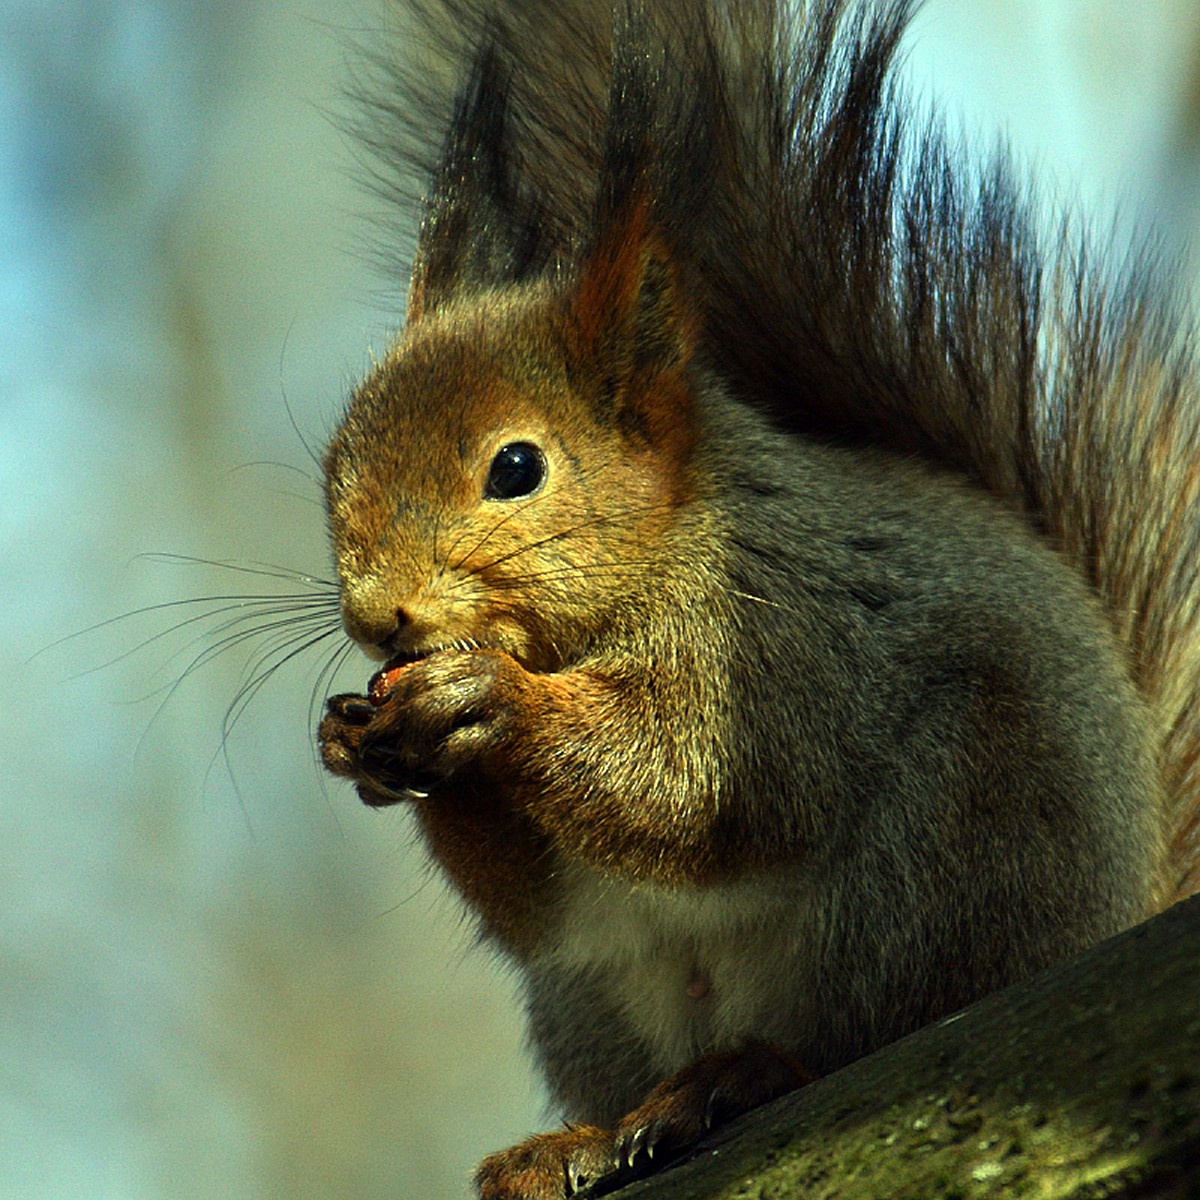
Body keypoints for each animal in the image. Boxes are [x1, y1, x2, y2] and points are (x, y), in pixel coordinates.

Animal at [316, 2, 1200, 1200]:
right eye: (334, 464)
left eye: (516, 467)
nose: (381, 618)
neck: (637, 572)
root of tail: (1115, 907)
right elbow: (533, 900)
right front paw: (356, 739)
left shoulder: (782, 636)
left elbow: (696, 788)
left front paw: (490, 703)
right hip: (591, 1004)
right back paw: (582, 1140)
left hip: (952, 848)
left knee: (870, 1031)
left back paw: (741, 1077)